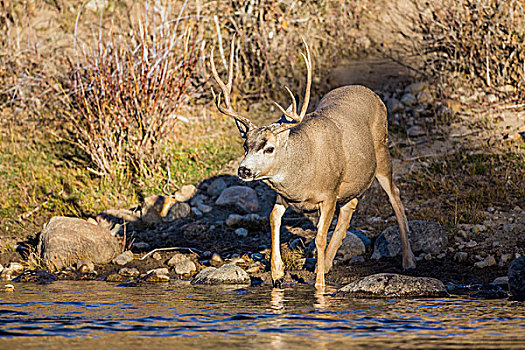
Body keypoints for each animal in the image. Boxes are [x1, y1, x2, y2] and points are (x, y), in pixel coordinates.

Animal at [209, 39, 414, 288]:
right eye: (245, 145)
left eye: (270, 148)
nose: (244, 169)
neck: (302, 177)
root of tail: (367, 90)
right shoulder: (284, 196)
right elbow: (273, 219)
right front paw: (277, 275)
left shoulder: (329, 193)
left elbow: (319, 237)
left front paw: (319, 285)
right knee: (351, 205)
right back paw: (325, 264)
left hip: (382, 151)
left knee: (395, 196)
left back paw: (408, 261)